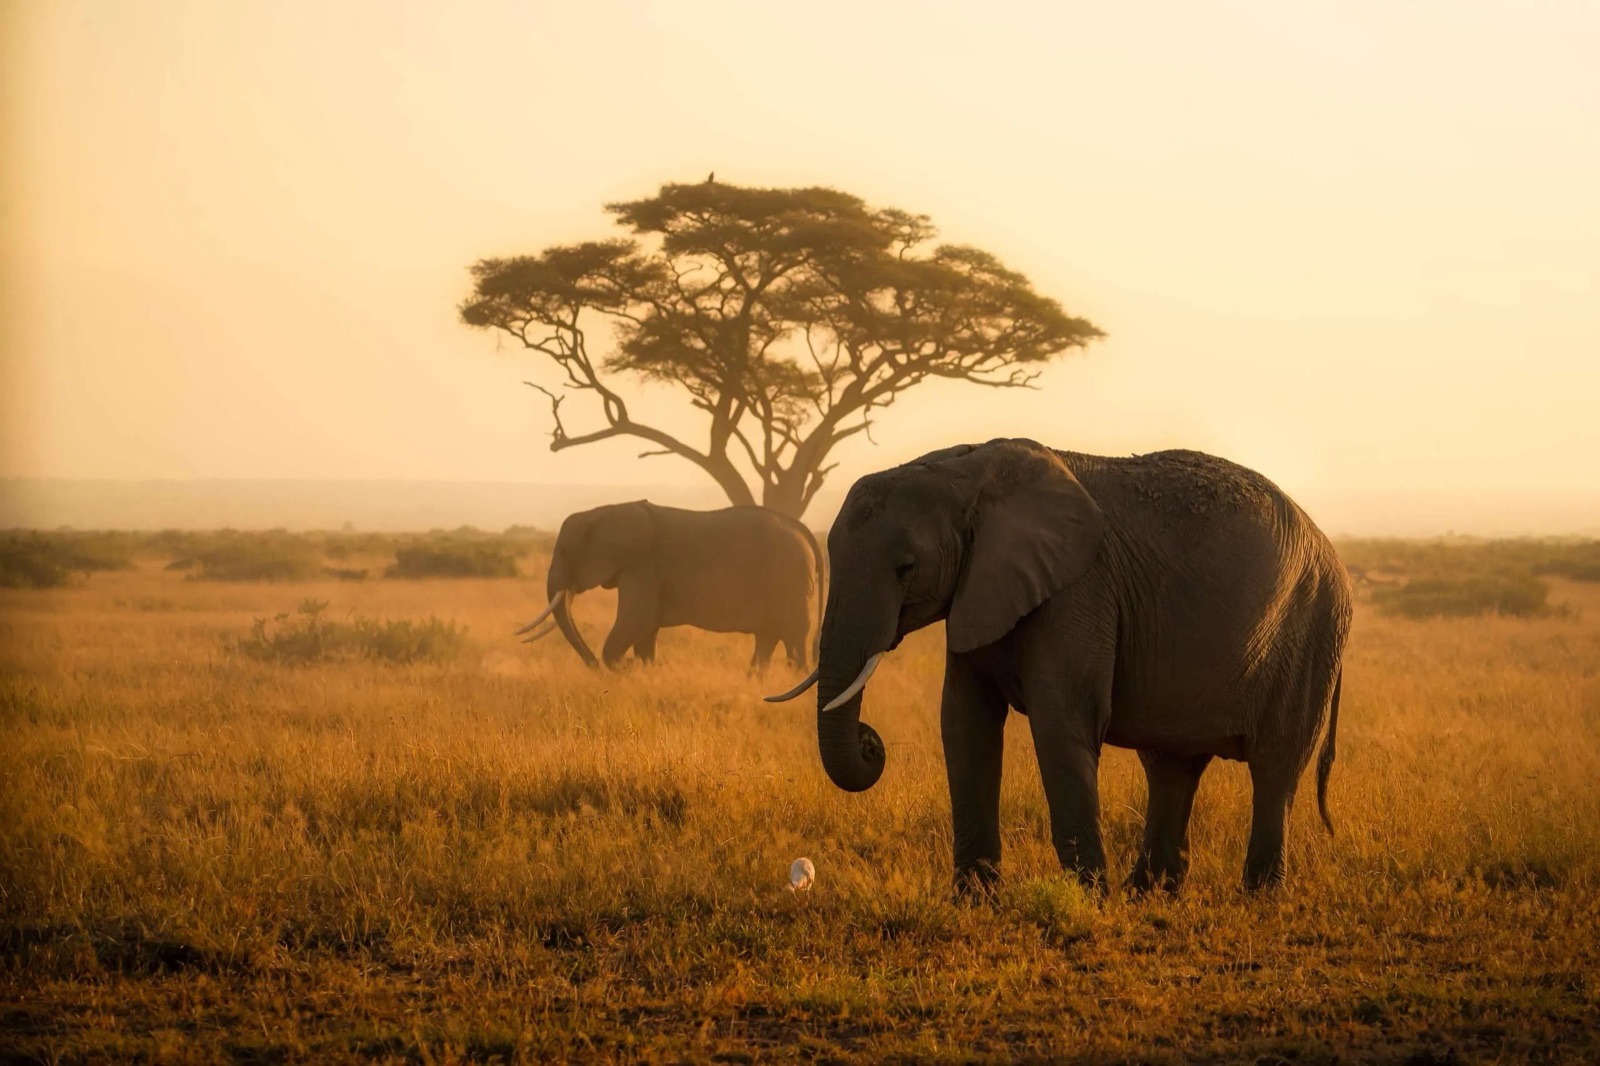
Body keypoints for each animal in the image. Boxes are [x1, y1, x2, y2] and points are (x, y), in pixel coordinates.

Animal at [517, 501, 823, 672]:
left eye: (564, 551)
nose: (593, 667)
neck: (603, 511)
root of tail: (802, 528)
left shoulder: (642, 566)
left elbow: (637, 622)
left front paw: (629, 668)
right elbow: (645, 630)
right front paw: (645, 669)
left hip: (790, 578)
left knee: (794, 640)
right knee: (767, 640)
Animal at [768, 439, 1351, 895]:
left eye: (906, 569)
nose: (871, 742)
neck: (961, 472)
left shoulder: (1078, 590)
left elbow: (1059, 722)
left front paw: (1089, 899)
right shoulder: (980, 587)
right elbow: (964, 724)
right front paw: (975, 901)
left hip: (1311, 633)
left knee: (1275, 766)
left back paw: (1256, 897)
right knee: (1171, 765)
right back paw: (1149, 894)